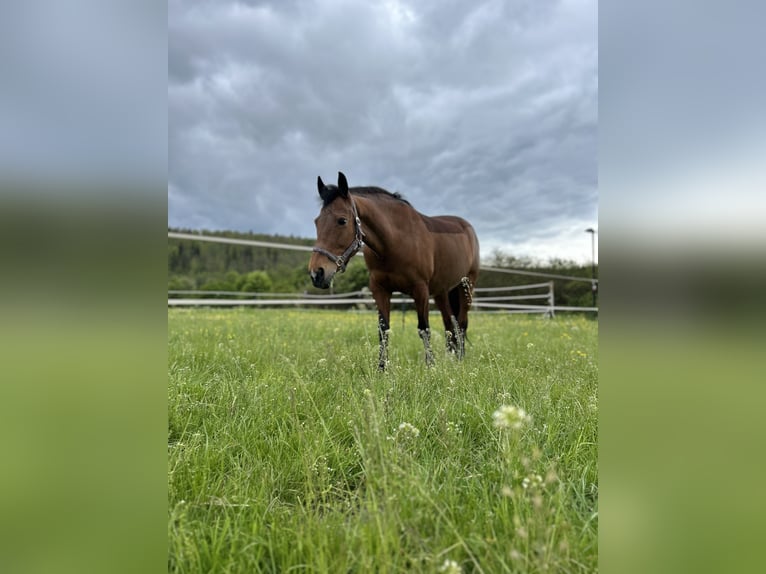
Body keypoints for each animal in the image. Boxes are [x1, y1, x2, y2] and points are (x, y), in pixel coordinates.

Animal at [308, 172, 480, 370]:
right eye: (317, 222)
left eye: (342, 220)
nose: (317, 273)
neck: (395, 241)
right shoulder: (380, 289)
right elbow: (383, 330)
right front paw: (382, 369)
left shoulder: (420, 289)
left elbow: (424, 329)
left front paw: (431, 367)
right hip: (442, 292)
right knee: (449, 325)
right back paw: (452, 360)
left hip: (466, 286)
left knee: (462, 323)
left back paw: (460, 360)